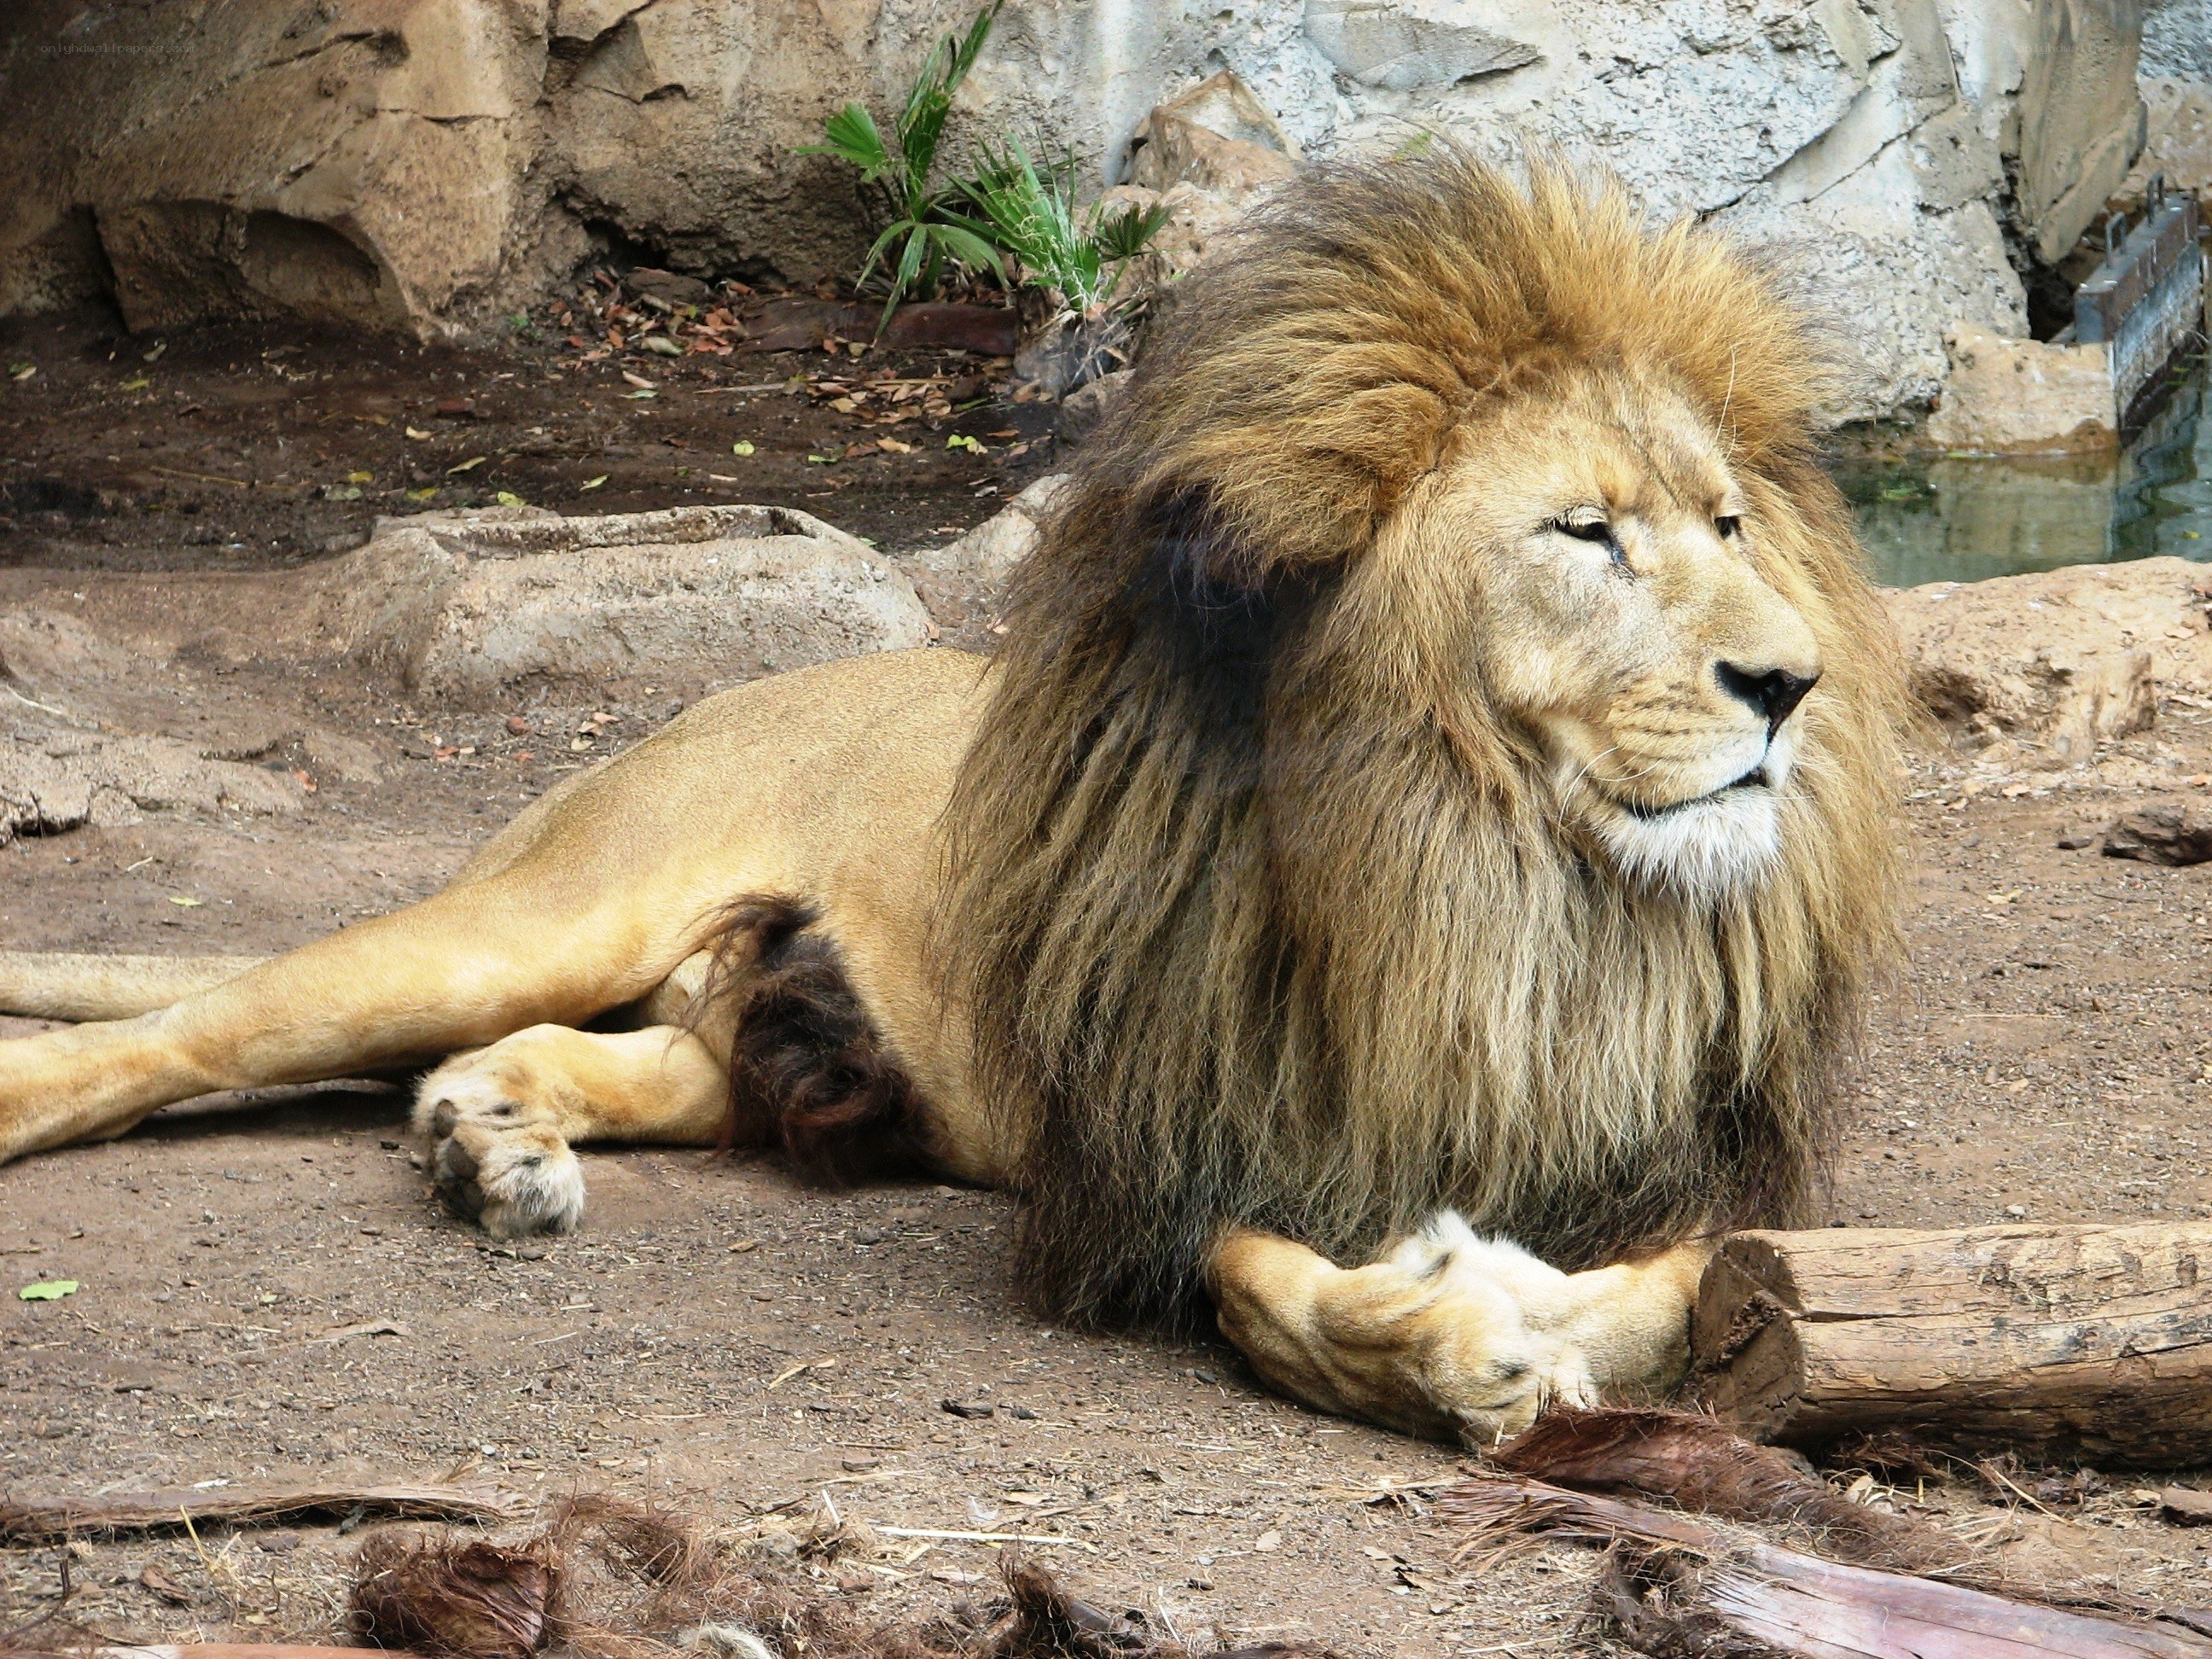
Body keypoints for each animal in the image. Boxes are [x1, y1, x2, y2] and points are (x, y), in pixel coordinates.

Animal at [0, 153, 1902, 1444]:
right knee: (181, 1034)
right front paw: (1449, 1337)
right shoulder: (1170, 1142)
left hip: (728, 1038)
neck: (1520, 890)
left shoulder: (1700, 1170)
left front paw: (1520, 1312)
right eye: (1585, 533)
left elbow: (1692, 1293)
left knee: (548, 1058)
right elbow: (1261, 1291)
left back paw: (492, 1149)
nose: (1790, 682)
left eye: (1731, 524)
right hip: (538, 917)